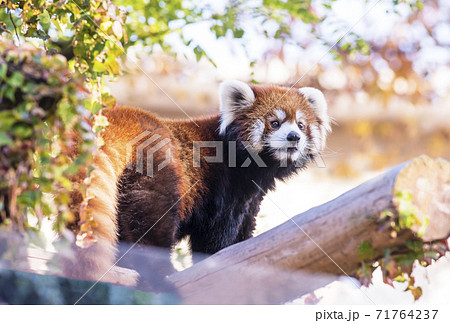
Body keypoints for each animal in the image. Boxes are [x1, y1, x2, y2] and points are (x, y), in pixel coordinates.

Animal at [65, 79, 330, 290]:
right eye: (275, 123)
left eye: (301, 124)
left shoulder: (251, 197)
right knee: (150, 221)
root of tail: (126, 117)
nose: (294, 137)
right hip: (159, 168)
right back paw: (160, 273)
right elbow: (216, 237)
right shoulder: (224, 189)